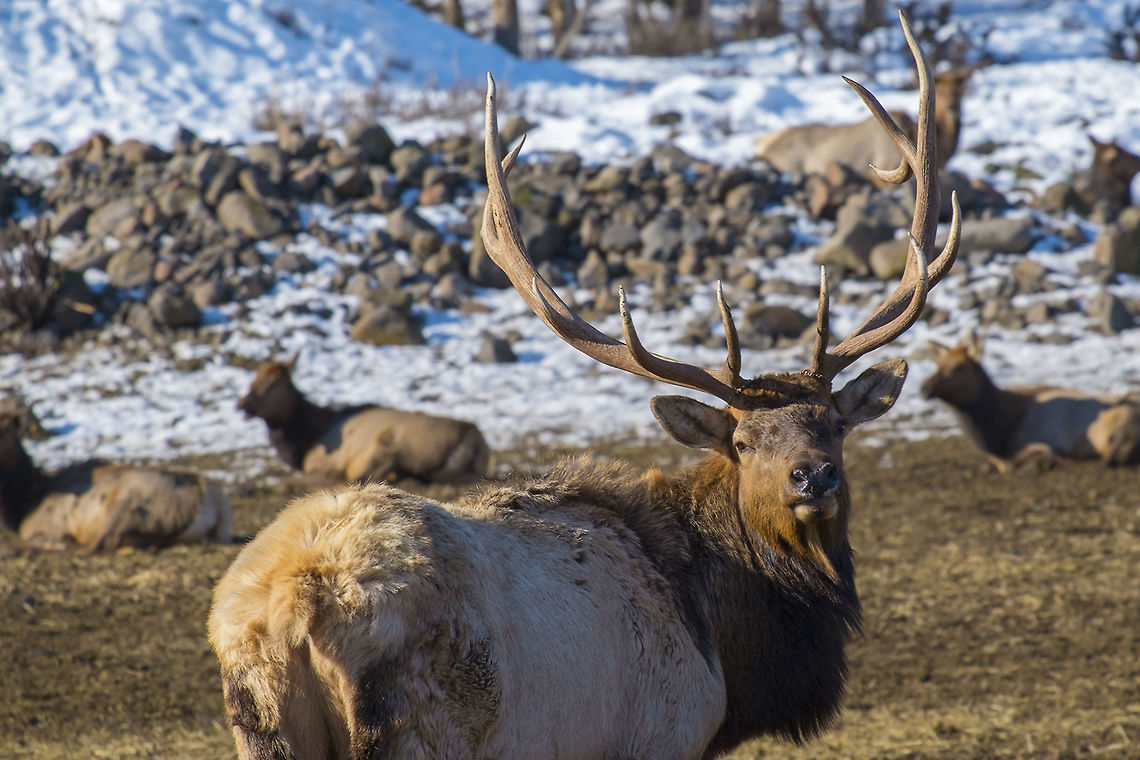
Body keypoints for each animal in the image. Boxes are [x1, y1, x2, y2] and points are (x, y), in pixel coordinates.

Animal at [238, 356, 490, 485]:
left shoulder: (321, 464)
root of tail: (475, 436)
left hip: (391, 443)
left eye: (272, 385)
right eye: (252, 379)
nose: (241, 403)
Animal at [921, 334, 1140, 471]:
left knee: (1109, 458)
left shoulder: (1040, 438)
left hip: (1119, 422)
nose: (924, 387)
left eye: (959, 366)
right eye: (938, 364)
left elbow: (1014, 462)